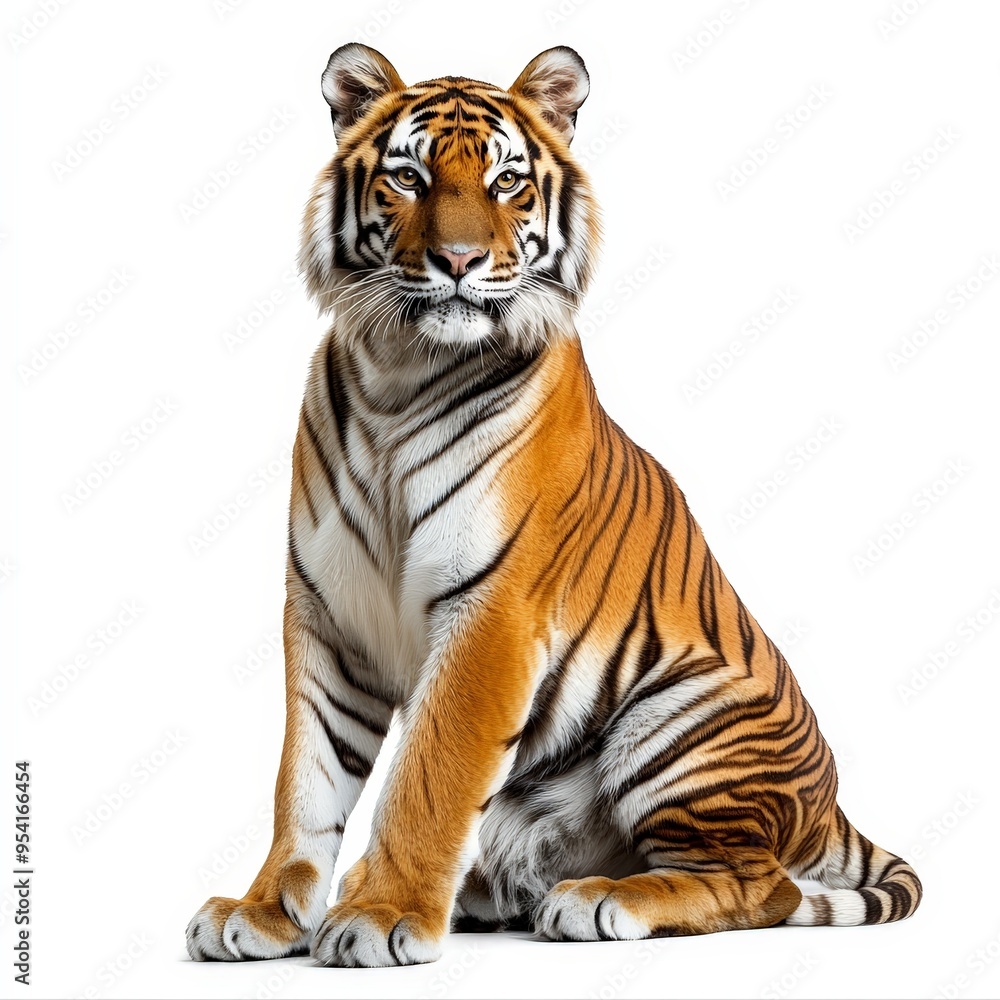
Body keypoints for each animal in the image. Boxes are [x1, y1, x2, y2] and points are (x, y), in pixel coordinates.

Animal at [186, 43, 921, 968]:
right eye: (408, 177)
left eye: (506, 181)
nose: (459, 261)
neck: (399, 373)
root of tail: (831, 805)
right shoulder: (326, 610)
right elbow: (305, 778)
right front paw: (266, 911)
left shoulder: (492, 613)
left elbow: (429, 774)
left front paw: (382, 915)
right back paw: (488, 893)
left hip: (679, 721)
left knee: (762, 885)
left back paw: (599, 900)